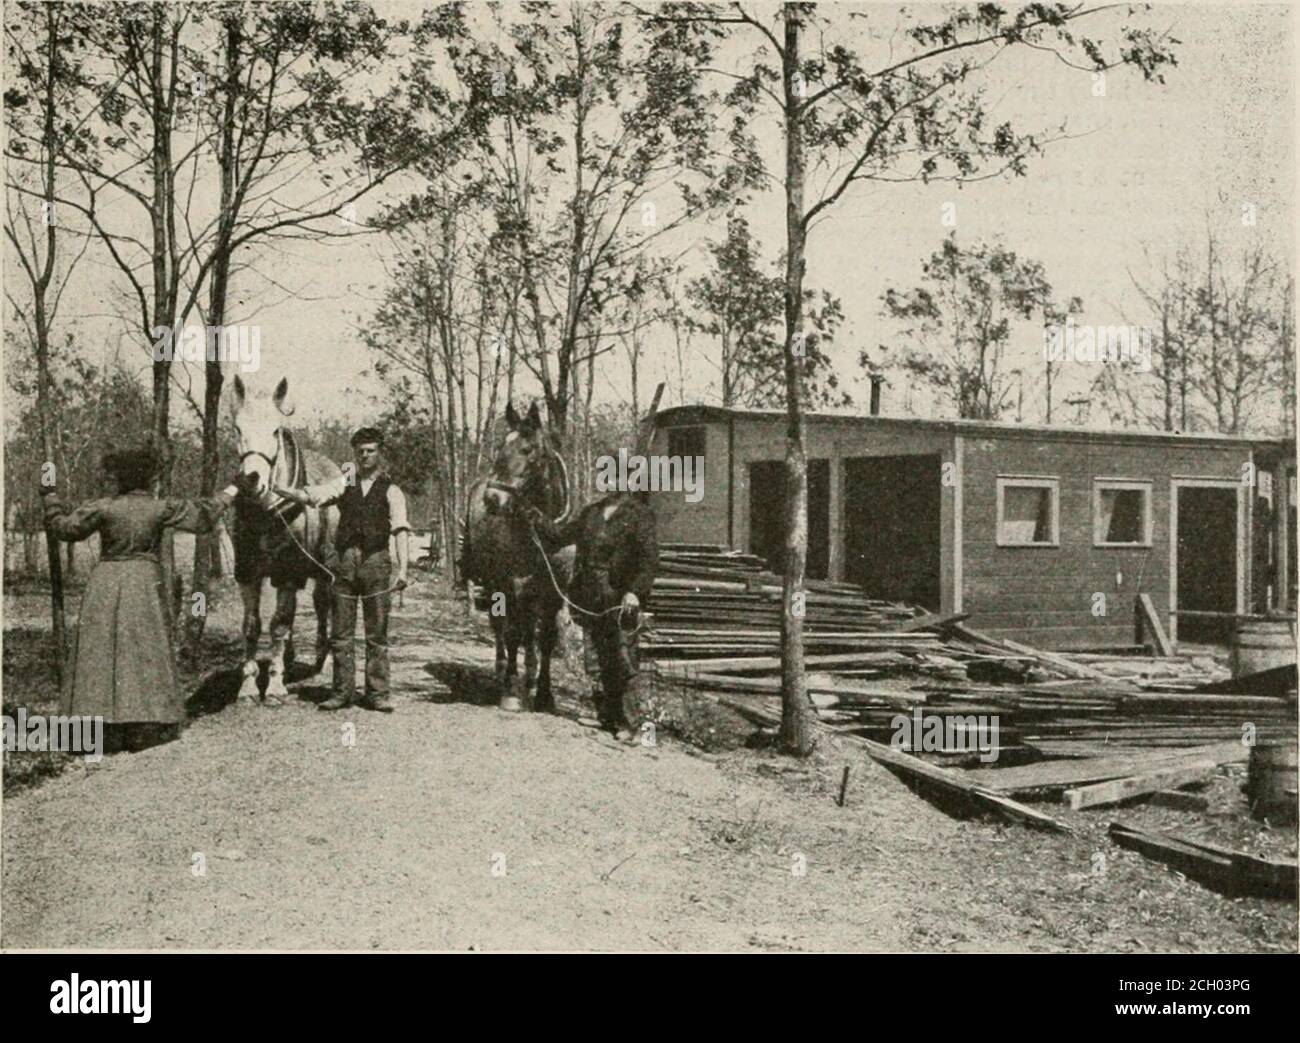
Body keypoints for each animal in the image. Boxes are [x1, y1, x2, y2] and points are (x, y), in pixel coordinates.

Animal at [230, 374, 340, 697]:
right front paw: (248, 685)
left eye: (275, 430)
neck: (267, 511)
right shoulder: (247, 572)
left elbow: (279, 623)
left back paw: (326, 658)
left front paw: (276, 684)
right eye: (237, 428)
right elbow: (252, 625)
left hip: (326, 567)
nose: (251, 481)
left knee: (325, 604)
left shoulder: (287, 572)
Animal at [465, 403, 572, 712]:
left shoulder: (552, 593)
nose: (492, 499)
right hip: (494, 584)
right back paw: (503, 673)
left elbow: (545, 638)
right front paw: (512, 691)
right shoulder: (510, 584)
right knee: (501, 628)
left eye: (527, 449)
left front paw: (544, 693)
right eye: (501, 447)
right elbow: (512, 633)